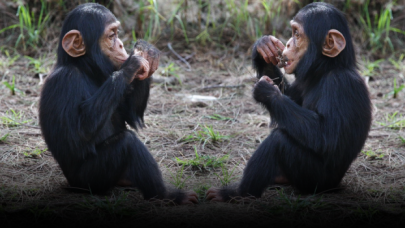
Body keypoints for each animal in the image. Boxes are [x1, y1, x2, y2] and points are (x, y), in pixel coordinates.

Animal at [38, 2, 197, 204]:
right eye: (111, 35)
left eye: (117, 33)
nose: (121, 44)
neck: (85, 69)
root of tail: (72, 184)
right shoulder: (64, 81)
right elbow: (78, 134)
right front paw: (132, 64)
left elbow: (131, 113)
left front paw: (148, 52)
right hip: (90, 180)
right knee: (128, 143)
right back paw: (167, 195)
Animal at [207, 2, 370, 201]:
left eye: (297, 34)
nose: (288, 43)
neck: (326, 69)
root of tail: (334, 185)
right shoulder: (302, 82)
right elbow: (290, 96)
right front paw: (264, 46)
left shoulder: (341, 84)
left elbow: (327, 135)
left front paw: (268, 92)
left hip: (314, 180)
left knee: (278, 141)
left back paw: (236, 193)